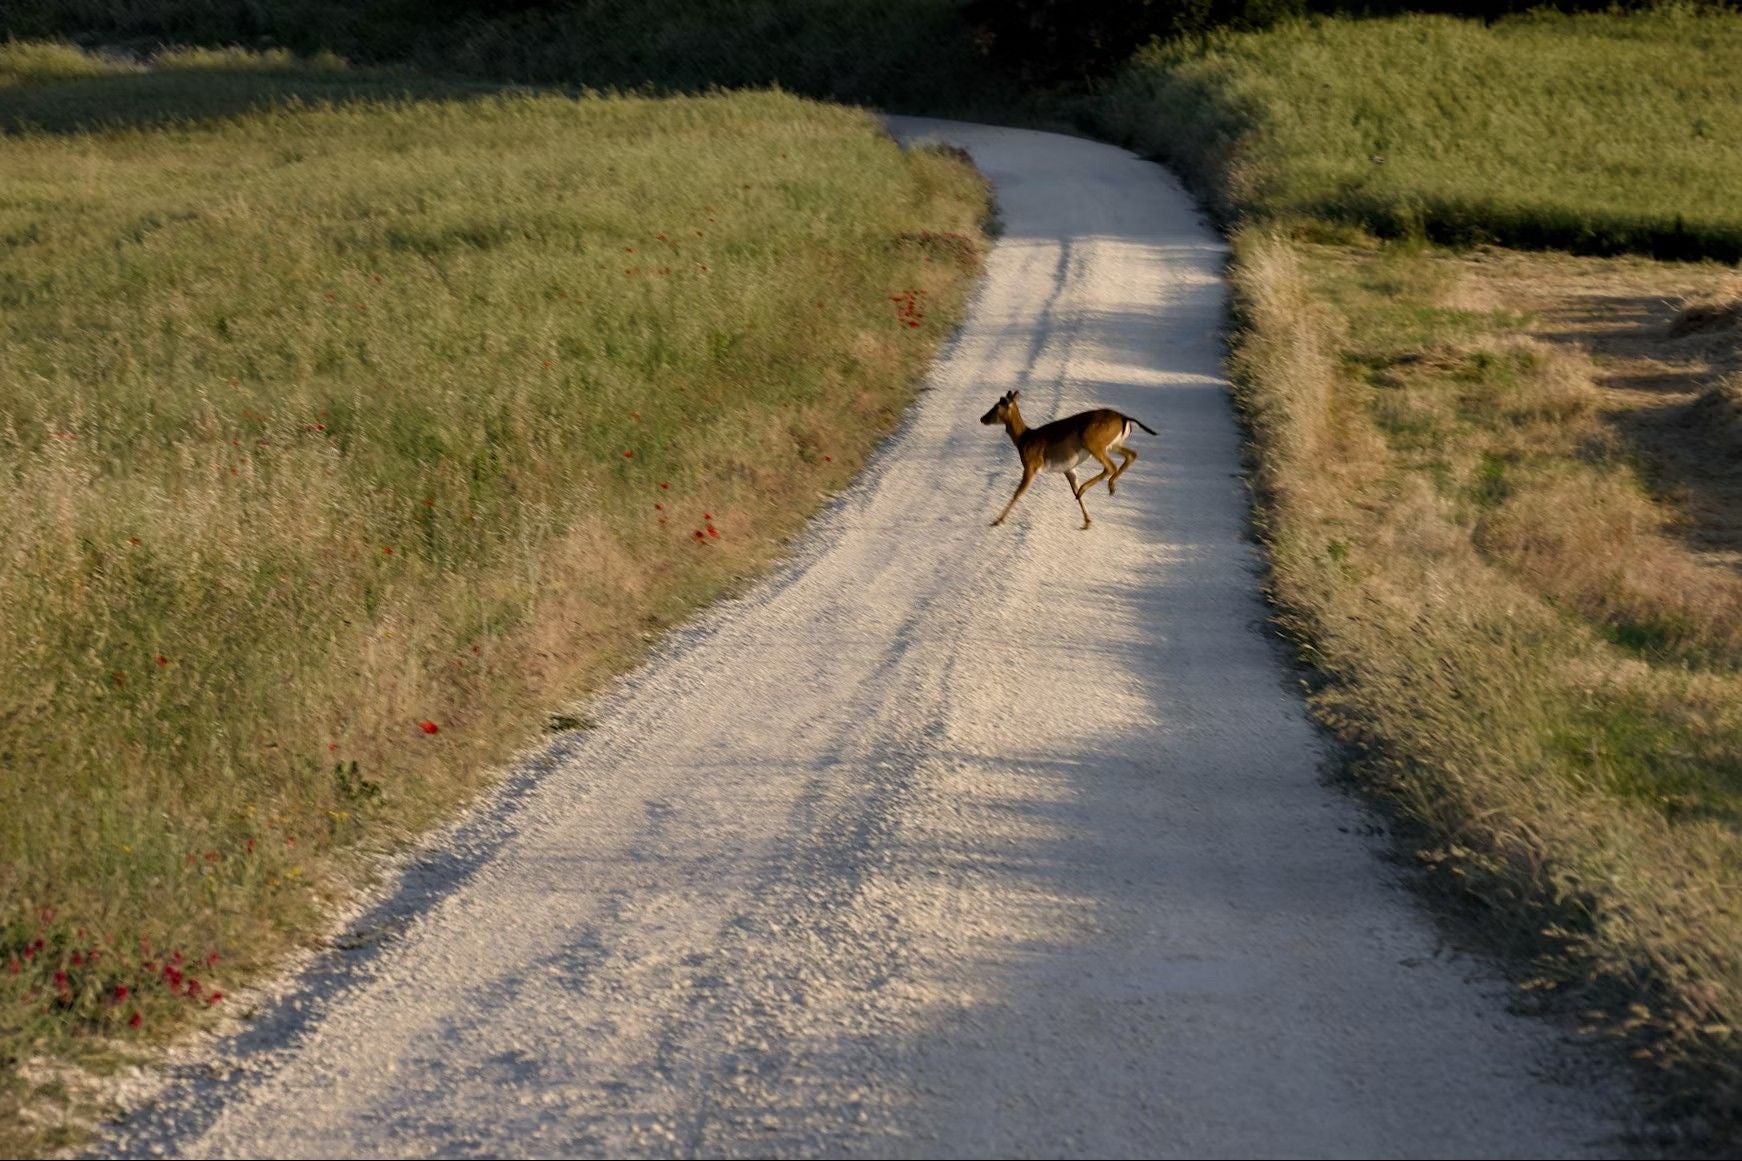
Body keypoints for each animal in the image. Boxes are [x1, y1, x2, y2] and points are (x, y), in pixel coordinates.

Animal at [980, 390, 1157, 530]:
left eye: (997, 406)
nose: (982, 418)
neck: (1024, 440)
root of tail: (1125, 418)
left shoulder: (1031, 465)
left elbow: (1018, 493)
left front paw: (997, 520)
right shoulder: (1068, 468)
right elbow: (1073, 487)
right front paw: (1087, 522)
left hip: (1093, 442)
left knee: (1111, 466)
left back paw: (1096, 488)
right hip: (1113, 444)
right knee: (1131, 454)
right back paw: (1103, 489)